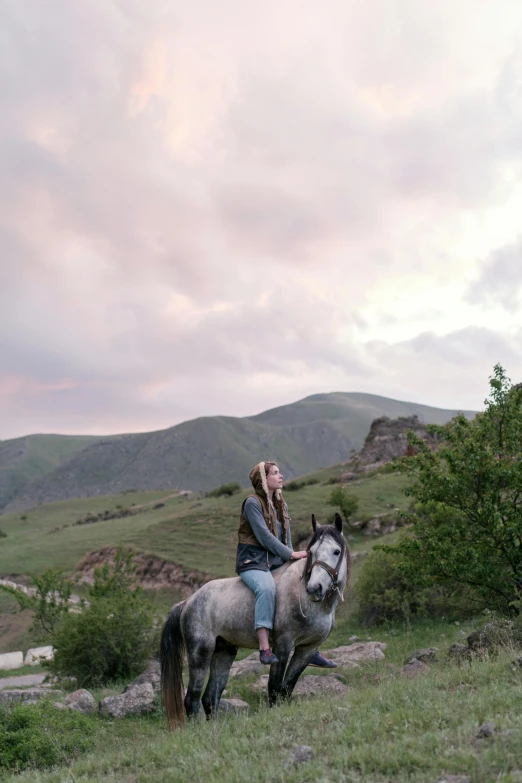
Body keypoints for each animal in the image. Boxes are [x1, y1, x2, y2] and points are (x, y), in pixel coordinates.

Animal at [158, 516, 346, 728]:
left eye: (336, 551)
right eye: (311, 552)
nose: (315, 588)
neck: (306, 600)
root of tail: (188, 602)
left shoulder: (307, 649)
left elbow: (287, 688)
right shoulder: (283, 646)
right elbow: (274, 687)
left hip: (224, 652)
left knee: (210, 698)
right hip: (200, 653)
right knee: (192, 699)